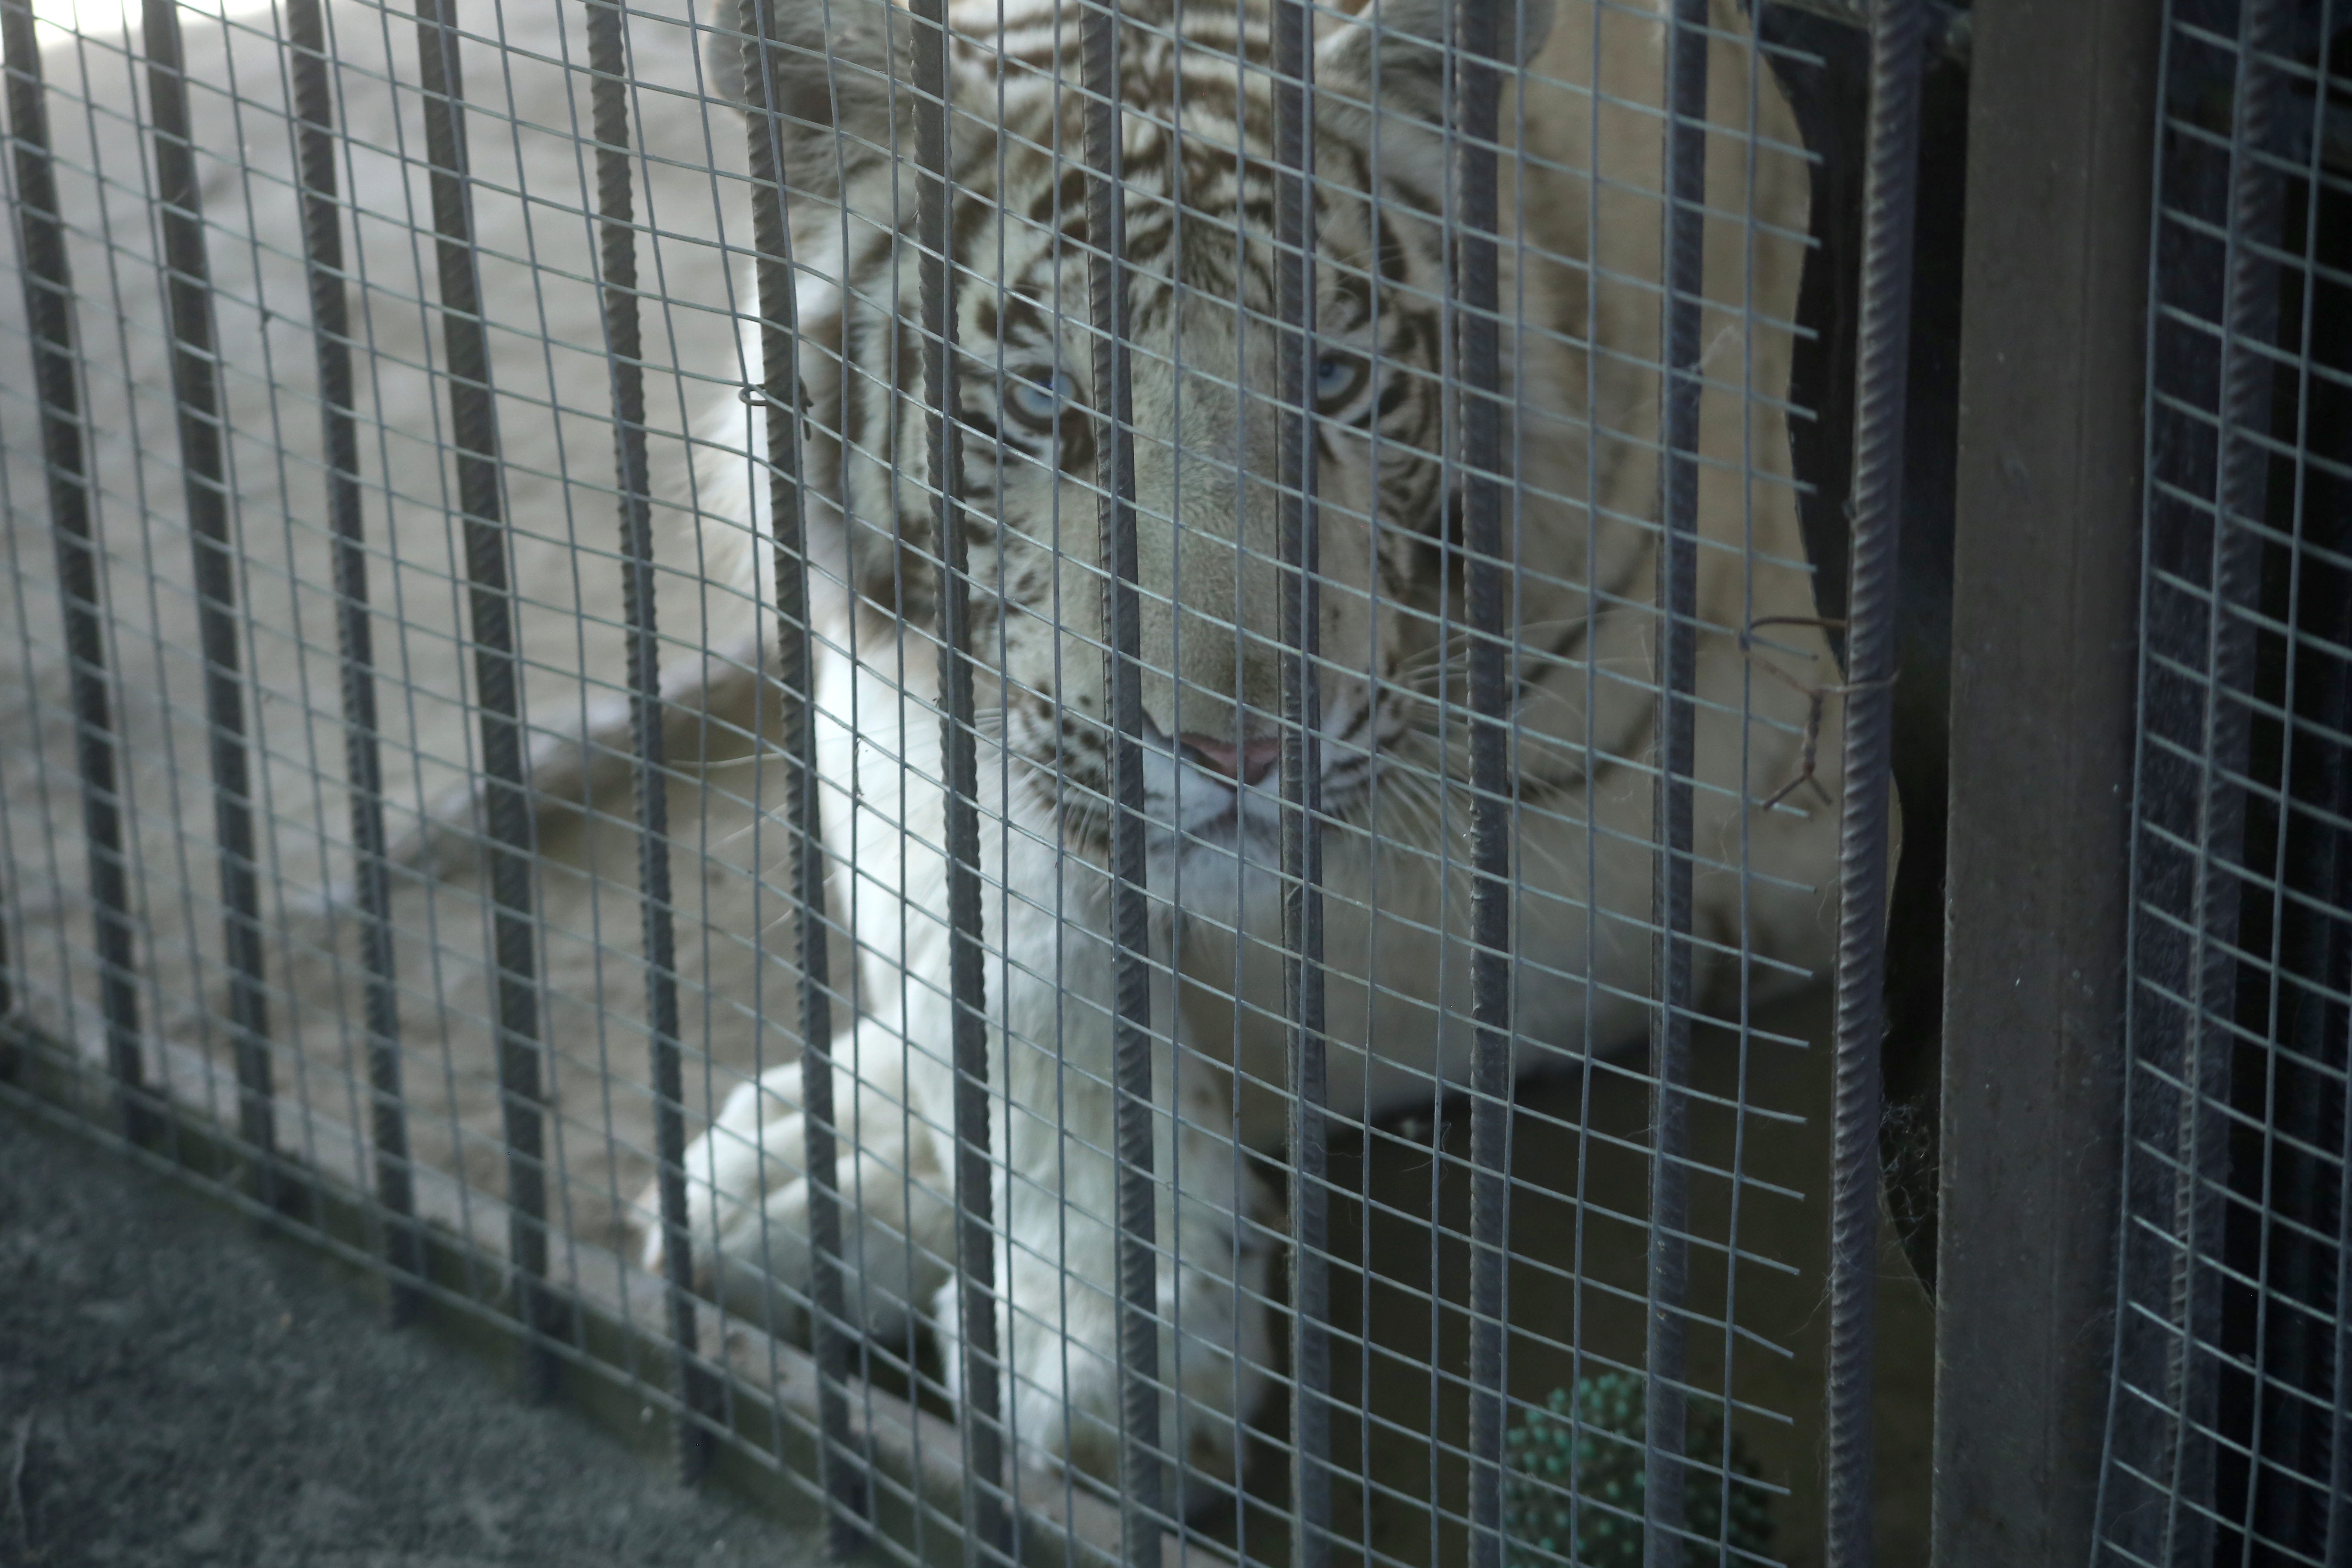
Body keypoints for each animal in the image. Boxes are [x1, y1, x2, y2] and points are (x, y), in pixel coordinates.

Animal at [640, 0, 1853, 1500]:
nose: (1238, 751)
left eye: (1332, 378)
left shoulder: (1740, 789)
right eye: (1040, 399)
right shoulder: (881, 699)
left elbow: (1329, 1003)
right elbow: (1019, 961)